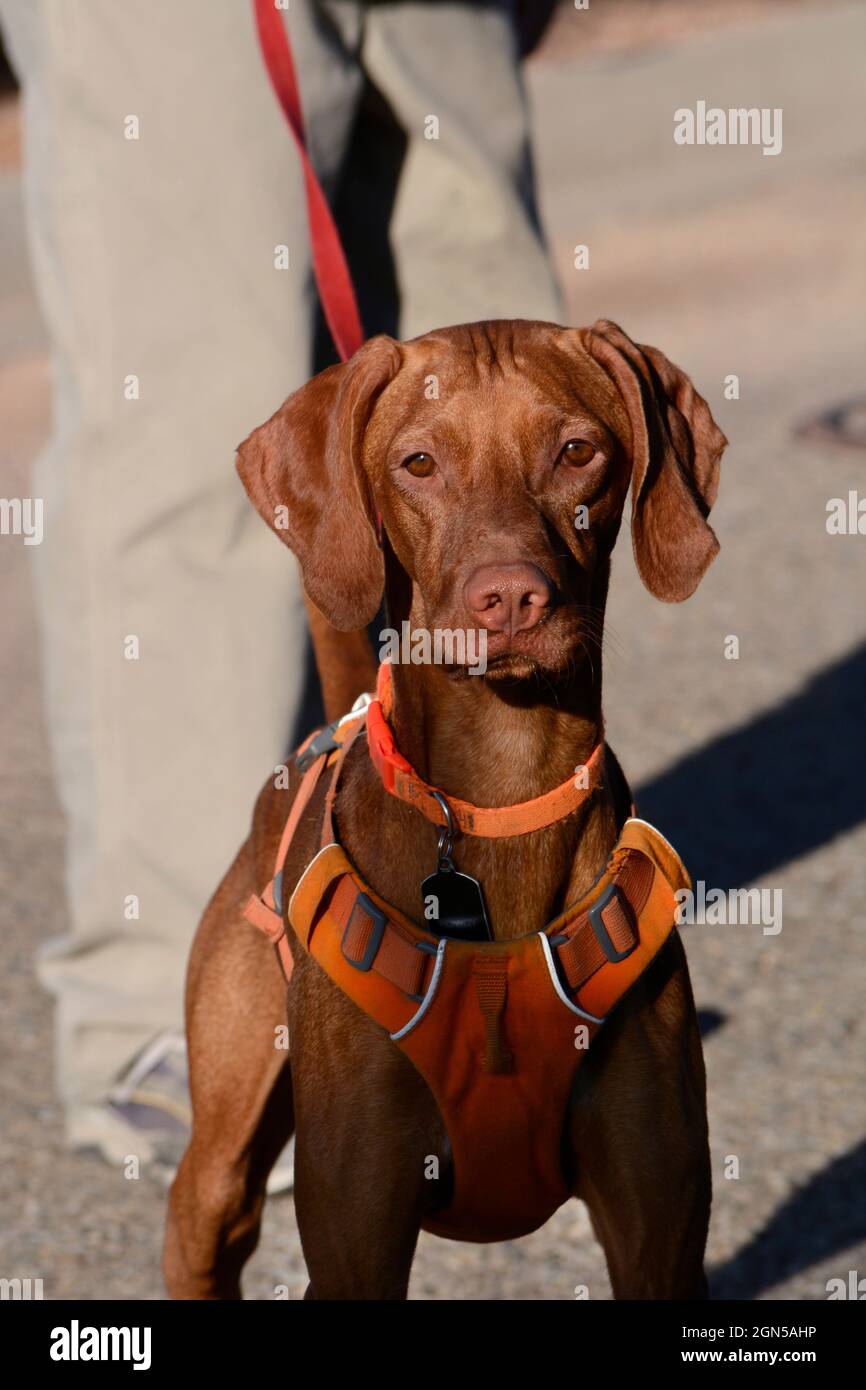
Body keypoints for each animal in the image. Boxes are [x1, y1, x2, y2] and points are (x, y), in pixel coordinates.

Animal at [162, 319, 722, 1295]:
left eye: (578, 452)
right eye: (418, 463)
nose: (510, 598)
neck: (499, 798)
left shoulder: (659, 1227)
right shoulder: (357, 1235)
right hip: (223, 1154)